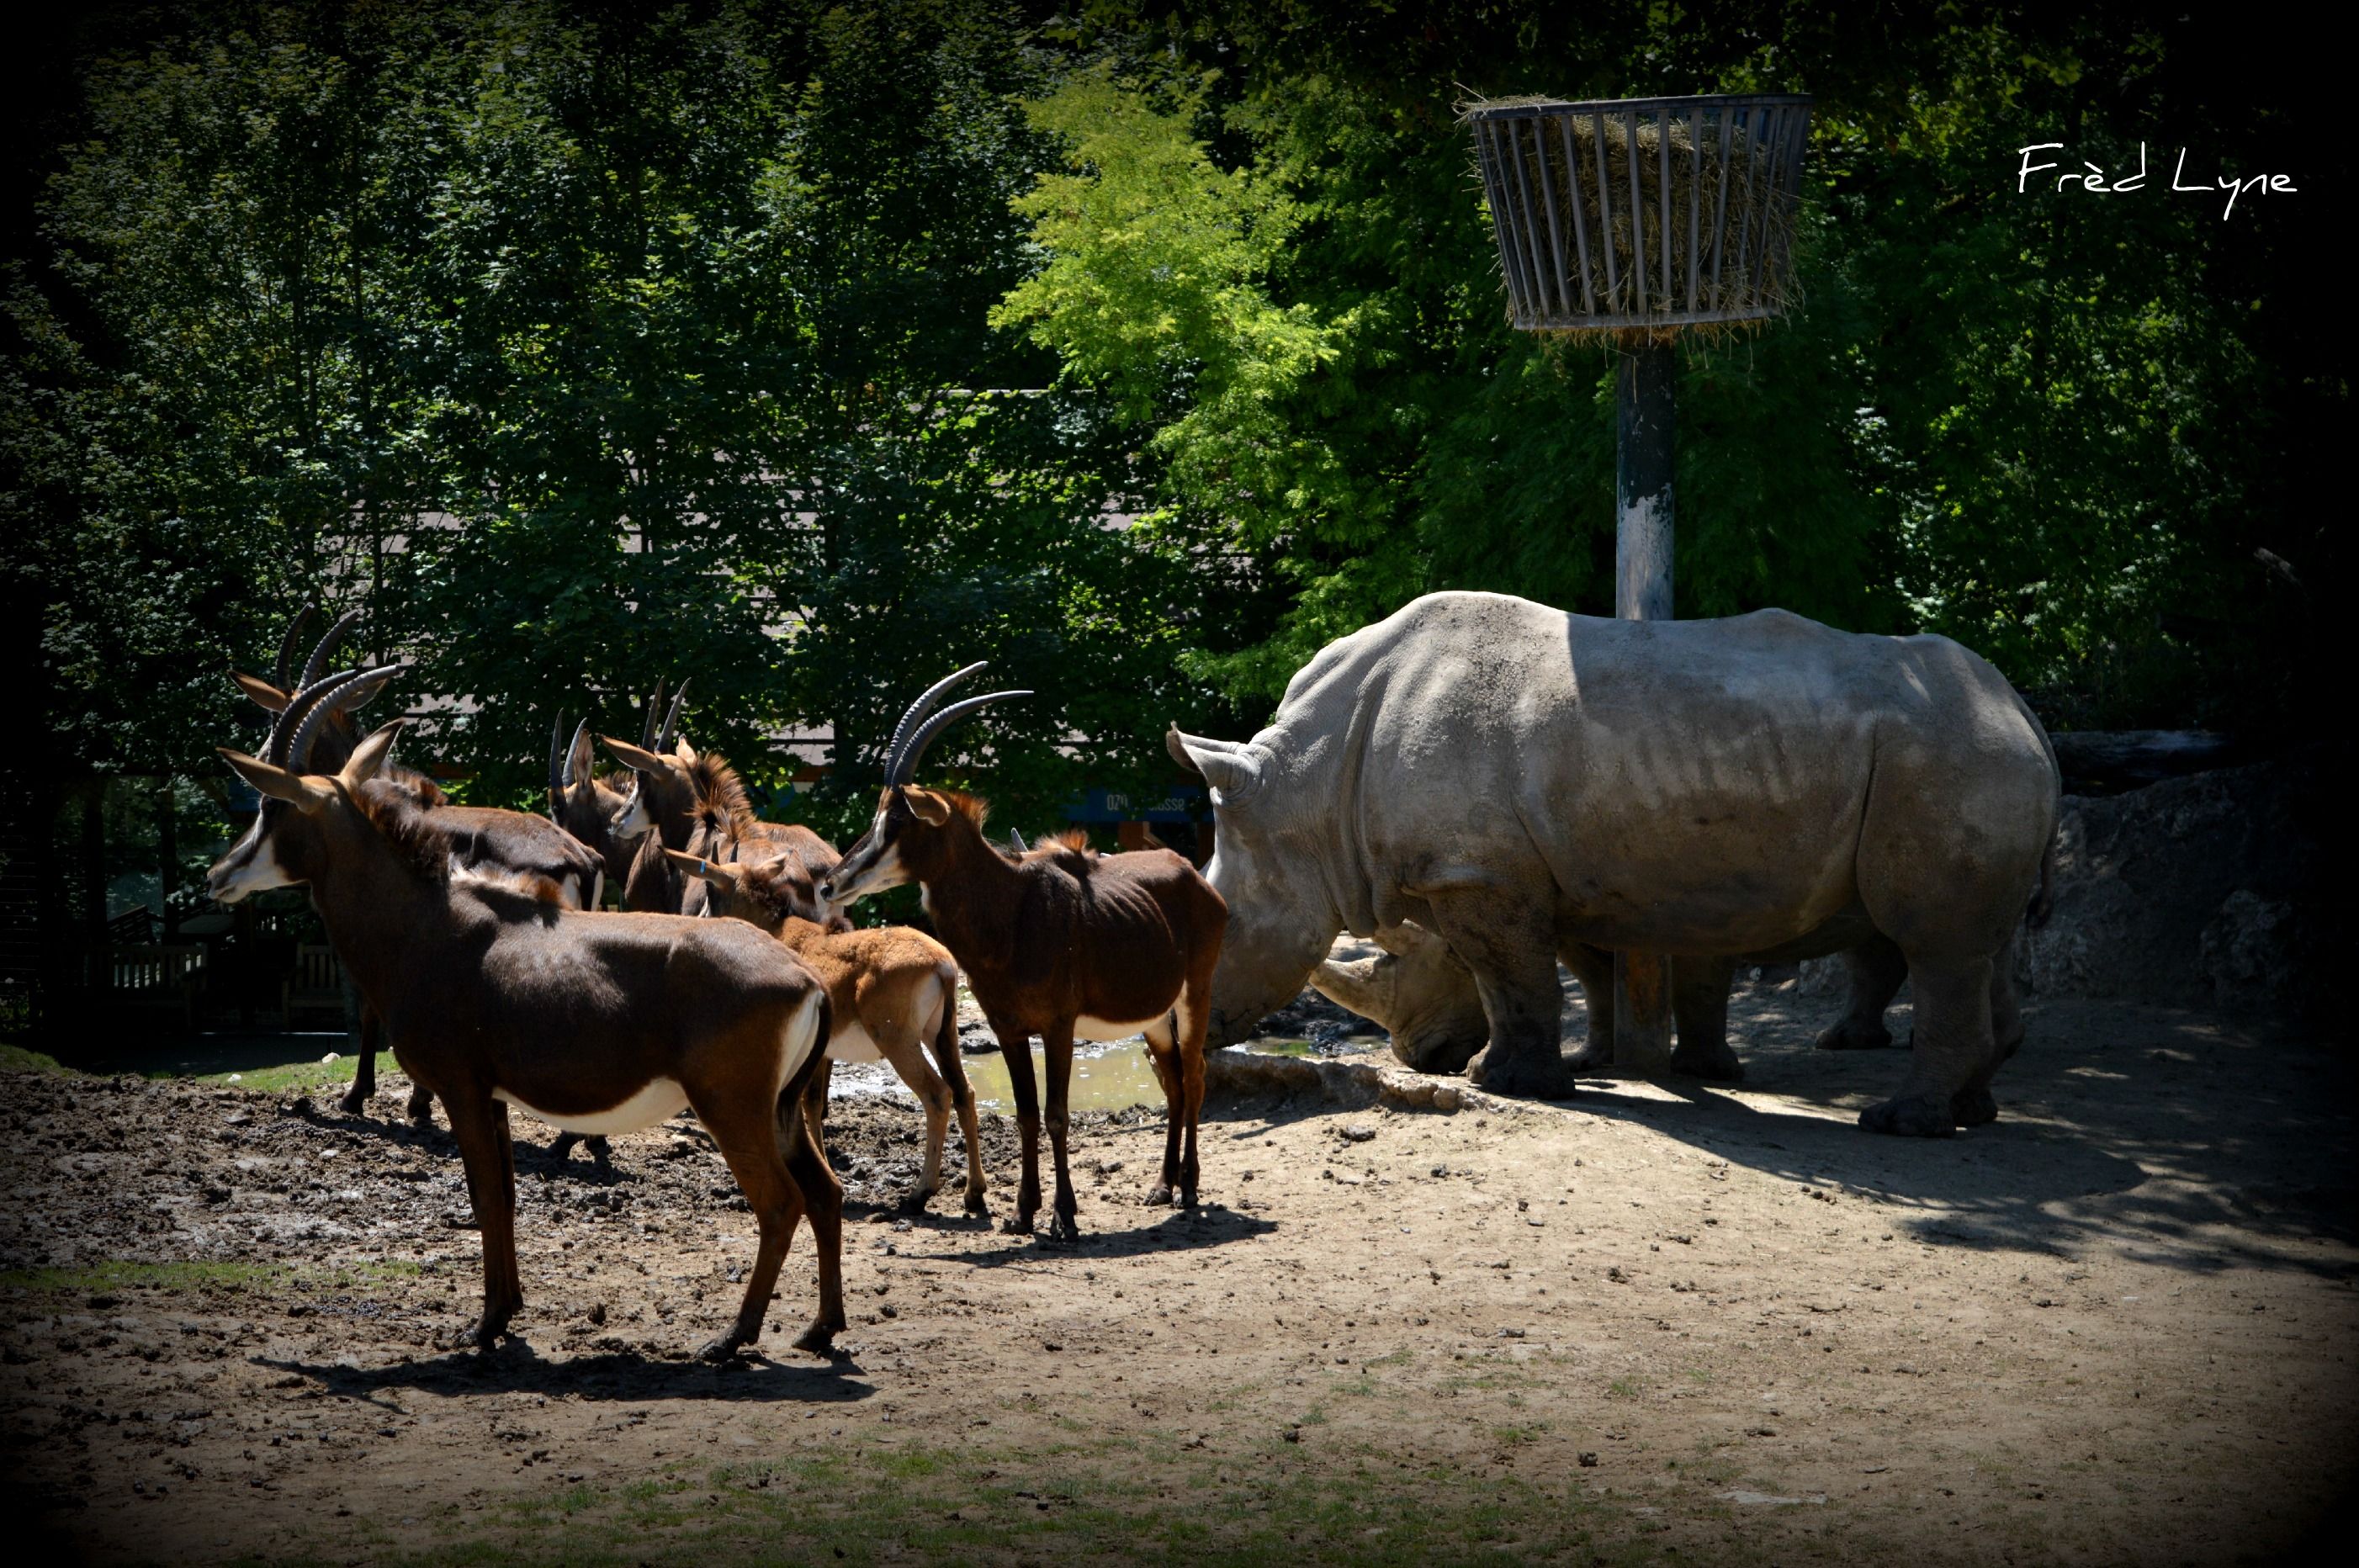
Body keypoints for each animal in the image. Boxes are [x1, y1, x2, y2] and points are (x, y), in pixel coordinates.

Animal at [207, 674, 844, 1358]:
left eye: (272, 807)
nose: (217, 875)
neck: (429, 920)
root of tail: (808, 979)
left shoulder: (459, 1086)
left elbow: (485, 1195)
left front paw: (485, 1324)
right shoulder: (493, 1096)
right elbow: (509, 1195)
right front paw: (509, 1308)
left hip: (732, 1106)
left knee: (779, 1203)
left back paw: (733, 1337)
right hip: (782, 1110)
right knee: (826, 1193)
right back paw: (820, 1327)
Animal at [230, 601, 603, 1136]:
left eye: (280, 715)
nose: (260, 764)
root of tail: (579, 857)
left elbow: (370, 1008)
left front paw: (363, 1096)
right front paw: (417, 1101)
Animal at [670, 849, 990, 1216]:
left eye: (710, 890)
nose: (699, 918)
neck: (779, 930)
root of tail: (943, 965)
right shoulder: (822, 1052)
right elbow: (813, 1104)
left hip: (898, 1040)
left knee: (937, 1095)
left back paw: (919, 1193)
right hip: (940, 1035)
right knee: (965, 1092)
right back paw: (974, 1193)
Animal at [825, 665, 1236, 1244]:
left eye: (898, 823)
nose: (832, 882)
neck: (1011, 908)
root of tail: (1195, 878)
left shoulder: (1058, 1026)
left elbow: (1057, 1113)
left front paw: (1064, 1215)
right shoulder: (1008, 1028)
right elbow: (1024, 1113)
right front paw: (1023, 1211)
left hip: (1194, 994)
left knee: (1195, 1075)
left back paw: (1191, 1189)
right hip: (1154, 1017)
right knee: (1174, 1082)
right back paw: (1162, 1186)